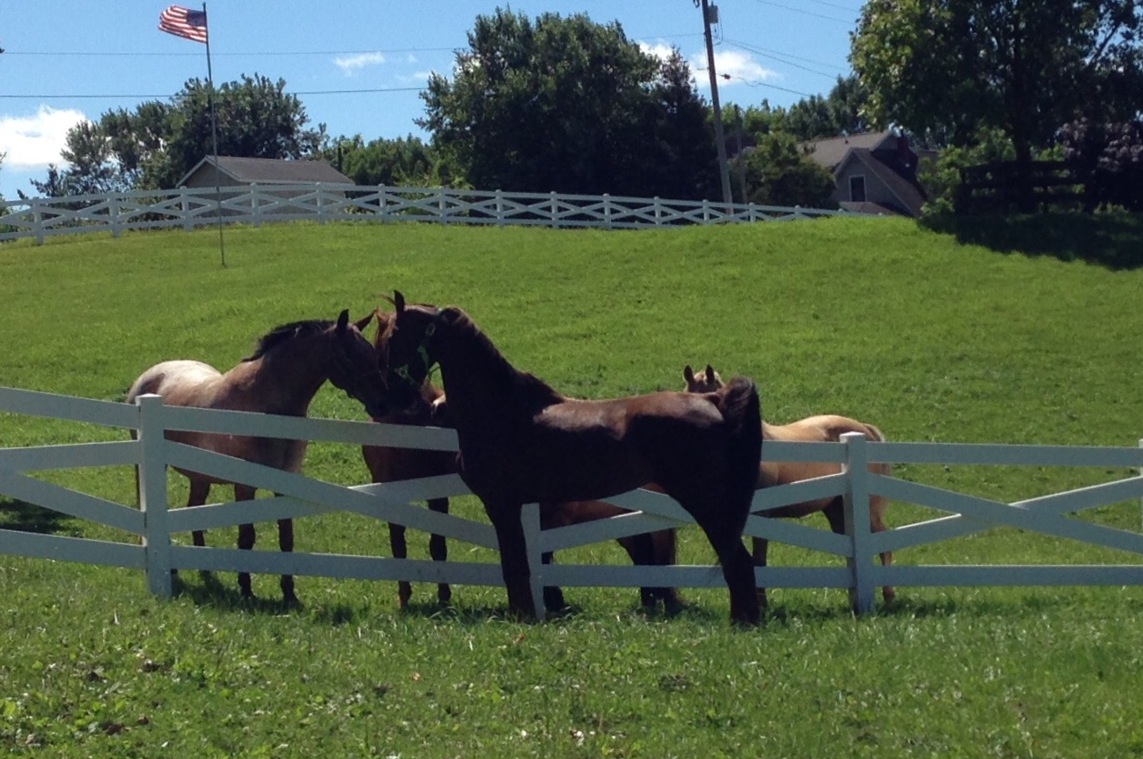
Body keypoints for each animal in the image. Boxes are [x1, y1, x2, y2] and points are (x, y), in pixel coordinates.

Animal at [126, 308, 388, 603]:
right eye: (349, 355)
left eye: (371, 352)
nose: (384, 403)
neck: (265, 406)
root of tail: (147, 378)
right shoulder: (245, 485)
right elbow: (246, 537)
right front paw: (246, 589)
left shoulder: (286, 482)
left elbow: (286, 536)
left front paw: (289, 593)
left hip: (200, 477)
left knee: (195, 510)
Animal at [681, 365, 896, 608]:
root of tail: (864, 429)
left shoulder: (762, 515)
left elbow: (759, 559)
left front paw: (762, 603)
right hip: (837, 512)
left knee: (883, 542)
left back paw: (888, 595)